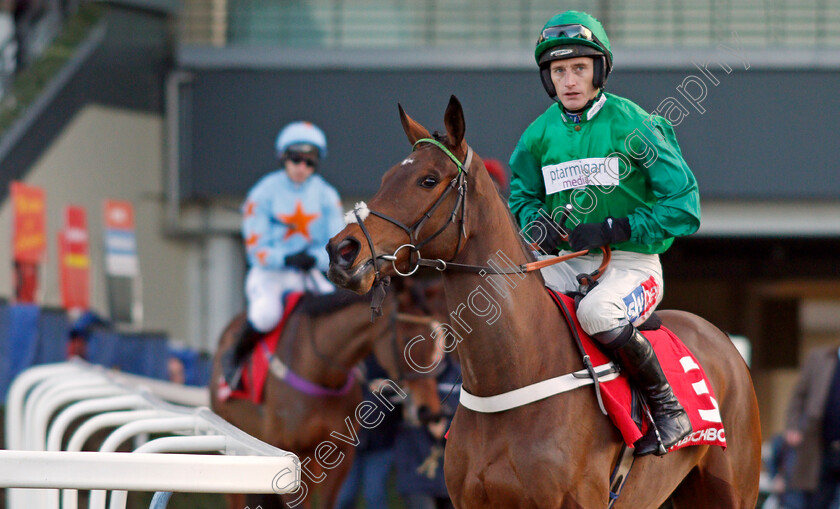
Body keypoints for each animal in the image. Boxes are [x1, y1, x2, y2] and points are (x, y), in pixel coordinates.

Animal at [210, 284, 446, 506]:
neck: (319, 372)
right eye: (407, 338)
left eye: (436, 341)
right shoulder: (291, 452)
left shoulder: (339, 454)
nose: (429, 412)